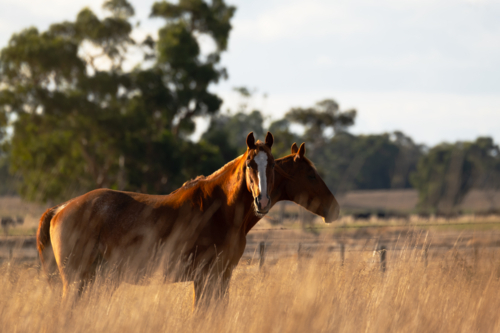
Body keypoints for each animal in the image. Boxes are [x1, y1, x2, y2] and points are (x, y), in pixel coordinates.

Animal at [37, 132, 276, 304]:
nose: (262, 201)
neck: (218, 208)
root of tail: (60, 208)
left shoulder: (221, 276)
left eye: (272, 164)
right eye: (250, 164)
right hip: (76, 282)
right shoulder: (207, 277)